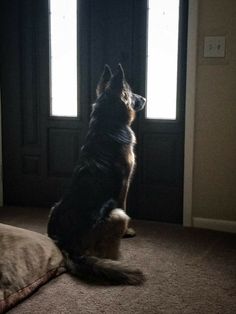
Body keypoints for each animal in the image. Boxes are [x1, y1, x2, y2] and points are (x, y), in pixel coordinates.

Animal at [47, 63, 146, 284]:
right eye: (131, 93)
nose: (144, 98)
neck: (107, 121)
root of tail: (67, 244)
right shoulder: (125, 185)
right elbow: (125, 203)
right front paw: (128, 233)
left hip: (53, 207)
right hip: (117, 215)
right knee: (106, 254)